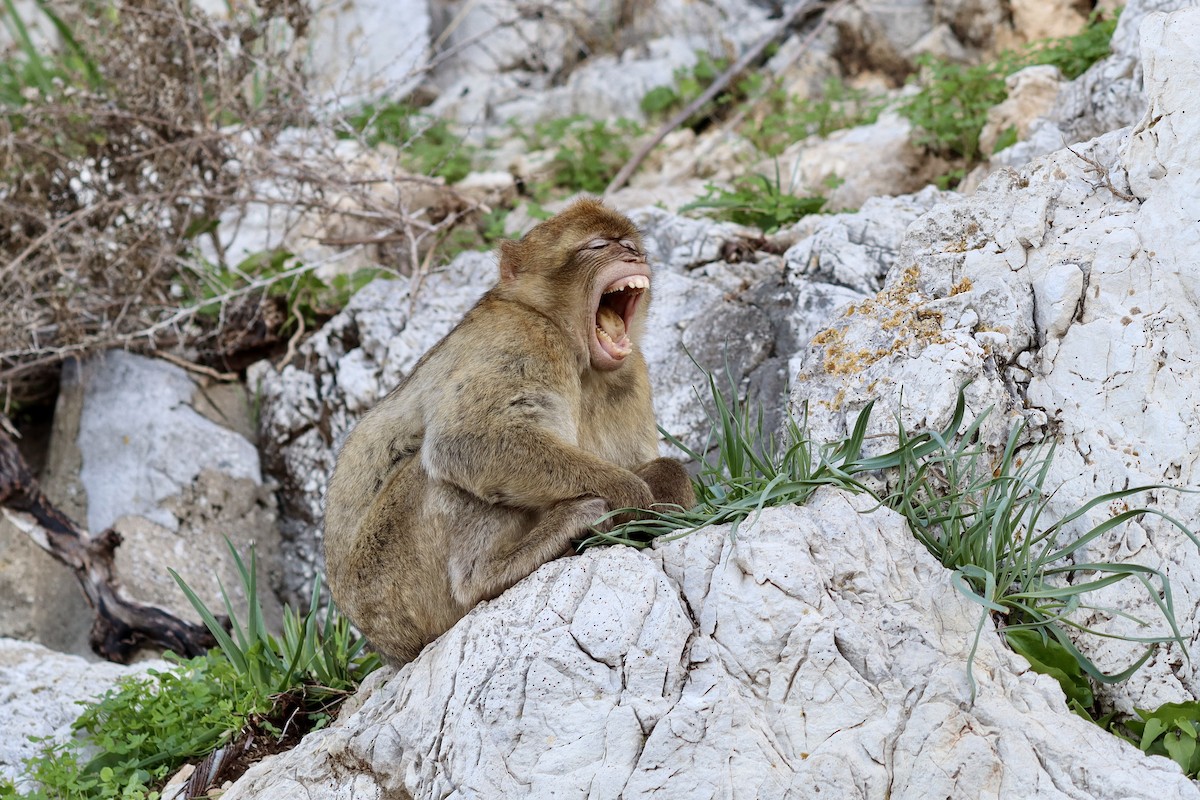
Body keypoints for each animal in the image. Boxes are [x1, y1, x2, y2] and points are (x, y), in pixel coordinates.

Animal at [323, 198, 695, 665]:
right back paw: (489, 574)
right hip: (393, 586)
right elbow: (465, 441)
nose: (632, 257)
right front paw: (628, 494)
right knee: (435, 470)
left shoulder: (633, 374)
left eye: (629, 244)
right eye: (597, 246)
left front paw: (667, 493)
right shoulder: (524, 339)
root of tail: (387, 648)